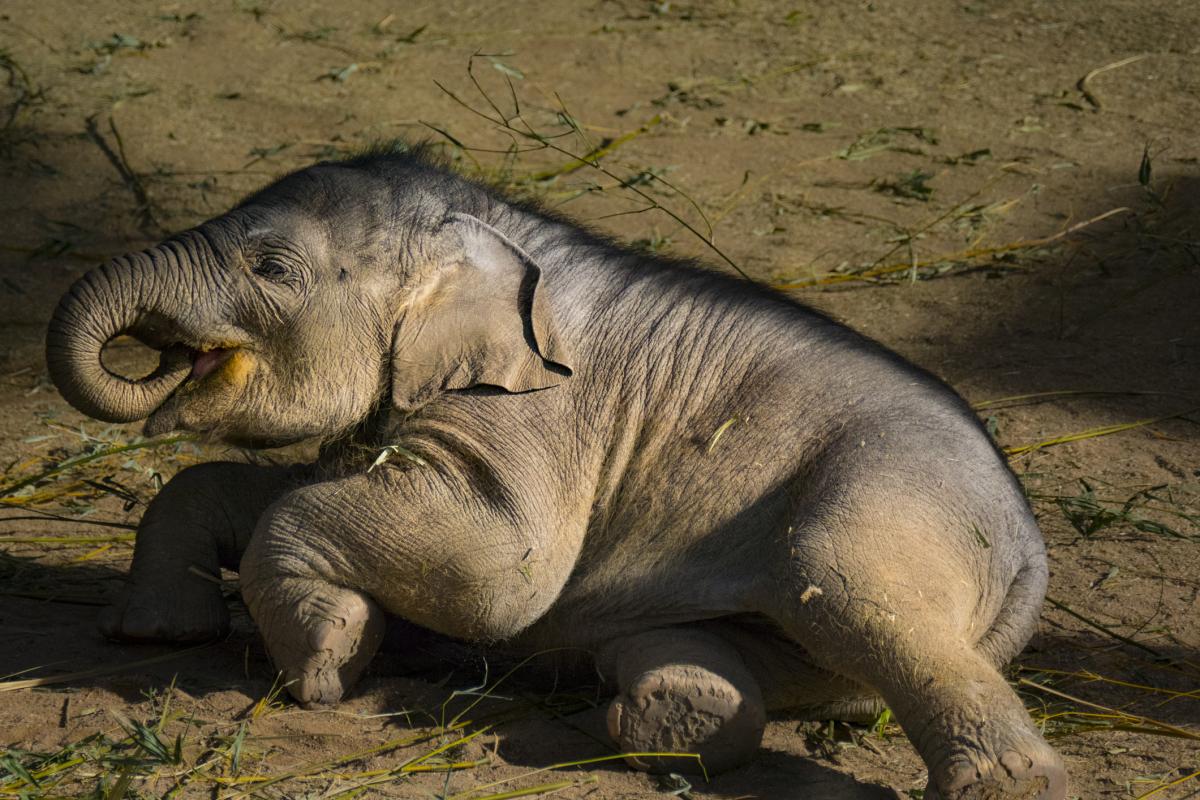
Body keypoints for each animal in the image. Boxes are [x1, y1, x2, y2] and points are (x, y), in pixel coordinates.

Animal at [46, 144, 1066, 799]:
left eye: (272, 266)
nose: (153, 357)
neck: (487, 223)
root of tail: (1028, 550)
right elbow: (258, 489)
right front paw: (153, 635)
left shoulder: (539, 411)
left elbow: (495, 568)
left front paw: (326, 665)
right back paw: (663, 722)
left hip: (890, 501)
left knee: (852, 595)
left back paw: (1007, 789)